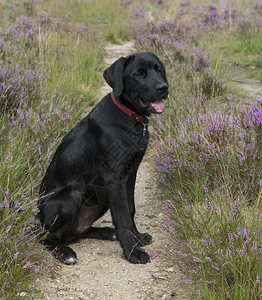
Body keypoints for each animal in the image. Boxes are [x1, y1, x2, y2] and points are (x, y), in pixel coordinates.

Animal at [38, 51, 169, 264]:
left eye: (158, 70)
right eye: (138, 74)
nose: (163, 88)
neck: (130, 118)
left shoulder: (130, 173)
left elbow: (130, 209)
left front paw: (137, 238)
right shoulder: (115, 178)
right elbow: (122, 217)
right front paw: (133, 251)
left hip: (102, 196)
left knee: (78, 233)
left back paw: (108, 232)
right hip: (71, 197)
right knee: (47, 237)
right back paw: (65, 252)